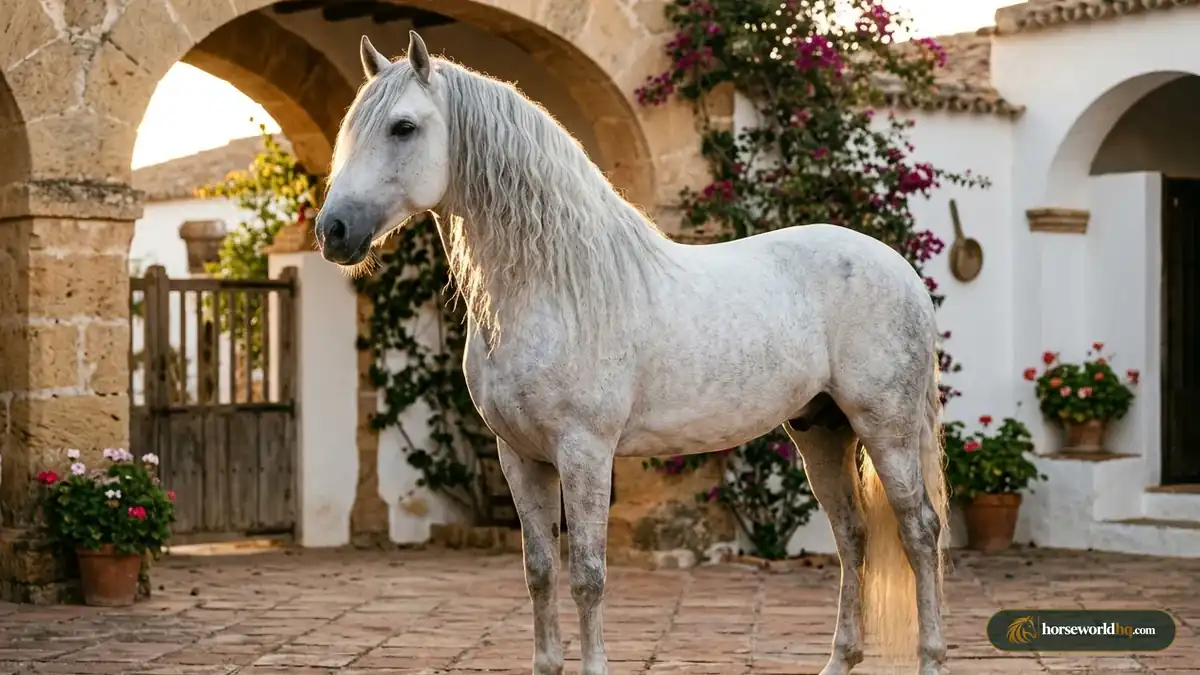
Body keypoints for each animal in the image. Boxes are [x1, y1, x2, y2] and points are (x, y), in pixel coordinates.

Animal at [314, 31, 950, 675]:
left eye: (403, 127)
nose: (332, 231)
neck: (555, 286)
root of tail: (900, 270)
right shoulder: (518, 456)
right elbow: (539, 573)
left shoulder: (585, 452)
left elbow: (588, 576)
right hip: (822, 428)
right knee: (852, 535)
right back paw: (840, 659)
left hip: (886, 427)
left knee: (920, 532)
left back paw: (930, 656)